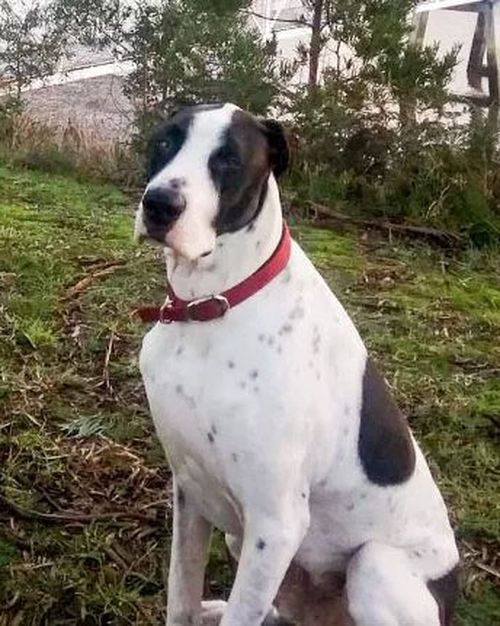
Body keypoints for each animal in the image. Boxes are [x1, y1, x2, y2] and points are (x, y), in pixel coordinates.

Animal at [135, 103, 458, 624]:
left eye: (228, 160)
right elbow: (180, 596)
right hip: (245, 543)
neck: (212, 305)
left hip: (373, 565)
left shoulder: (277, 525)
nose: (160, 205)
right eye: (165, 141)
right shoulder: (190, 489)